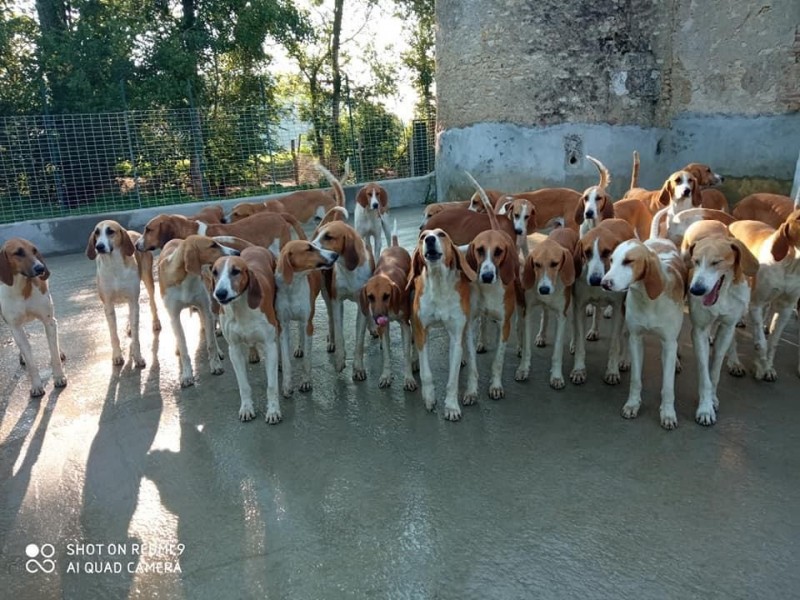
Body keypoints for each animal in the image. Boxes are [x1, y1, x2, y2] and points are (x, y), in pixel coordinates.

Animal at [0, 237, 67, 396]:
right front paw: (36, 385)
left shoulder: (48, 321)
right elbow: (30, 361)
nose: (41, 268)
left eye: (35, 250)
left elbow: (54, 353)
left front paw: (59, 377)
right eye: (18, 253)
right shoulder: (15, 327)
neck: (21, 288)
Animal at [86, 220, 161, 368]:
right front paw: (117, 356)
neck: (114, 266)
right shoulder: (108, 305)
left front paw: (138, 357)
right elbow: (113, 335)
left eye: (110, 231)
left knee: (152, 302)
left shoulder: (133, 300)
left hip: (148, 280)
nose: (99, 246)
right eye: (96, 232)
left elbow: (136, 335)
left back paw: (155, 322)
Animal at [214, 246, 282, 424]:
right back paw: (252, 353)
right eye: (215, 272)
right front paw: (246, 408)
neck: (241, 307)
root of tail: (254, 247)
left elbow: (272, 386)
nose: (220, 293)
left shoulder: (269, 346)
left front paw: (273, 411)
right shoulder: (234, 350)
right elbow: (243, 386)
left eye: (235, 271)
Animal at [604, 237, 684, 428]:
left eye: (628, 261)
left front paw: (668, 413)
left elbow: (668, 386)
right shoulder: (636, 338)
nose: (604, 283)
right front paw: (632, 404)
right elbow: (635, 379)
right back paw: (625, 360)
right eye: (611, 260)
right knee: (625, 336)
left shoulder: (668, 343)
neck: (648, 298)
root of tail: (659, 238)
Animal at [684, 221, 760, 426]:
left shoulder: (727, 327)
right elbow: (704, 375)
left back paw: (734, 362)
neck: (723, 294)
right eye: (695, 261)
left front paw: (712, 398)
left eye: (716, 263)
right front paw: (705, 408)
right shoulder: (699, 331)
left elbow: (716, 369)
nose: (696, 290)